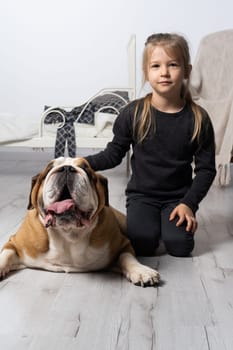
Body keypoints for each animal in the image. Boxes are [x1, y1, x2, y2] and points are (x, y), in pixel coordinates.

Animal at [0, 157, 159, 286]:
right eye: (49, 169)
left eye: (85, 169)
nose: (66, 168)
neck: (67, 233)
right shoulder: (15, 243)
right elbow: (6, 254)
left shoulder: (123, 244)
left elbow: (127, 257)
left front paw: (141, 270)